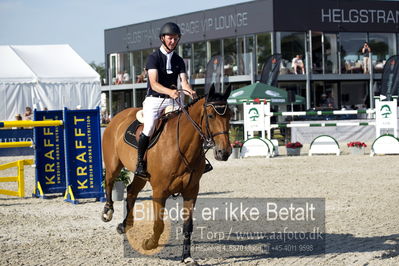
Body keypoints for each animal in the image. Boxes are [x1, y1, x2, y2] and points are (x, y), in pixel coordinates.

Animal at [101, 85, 231, 264]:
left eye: (230, 115)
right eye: (211, 116)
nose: (224, 153)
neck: (180, 145)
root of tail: (117, 117)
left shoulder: (191, 191)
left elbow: (187, 226)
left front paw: (186, 257)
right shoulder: (159, 191)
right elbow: (159, 224)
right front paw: (149, 244)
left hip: (141, 175)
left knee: (132, 191)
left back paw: (125, 224)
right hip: (113, 164)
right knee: (109, 182)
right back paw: (108, 212)